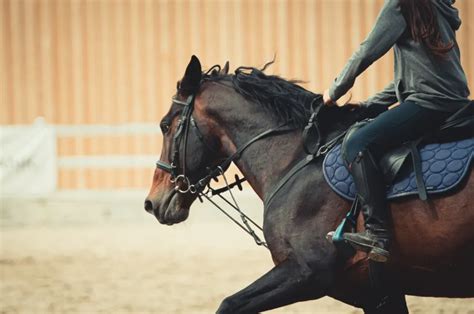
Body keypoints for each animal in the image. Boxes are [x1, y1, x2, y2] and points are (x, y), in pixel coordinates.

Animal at [145, 55, 474, 312]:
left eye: (165, 125)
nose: (152, 203)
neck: (295, 160)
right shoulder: (378, 292)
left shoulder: (307, 274)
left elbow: (229, 304)